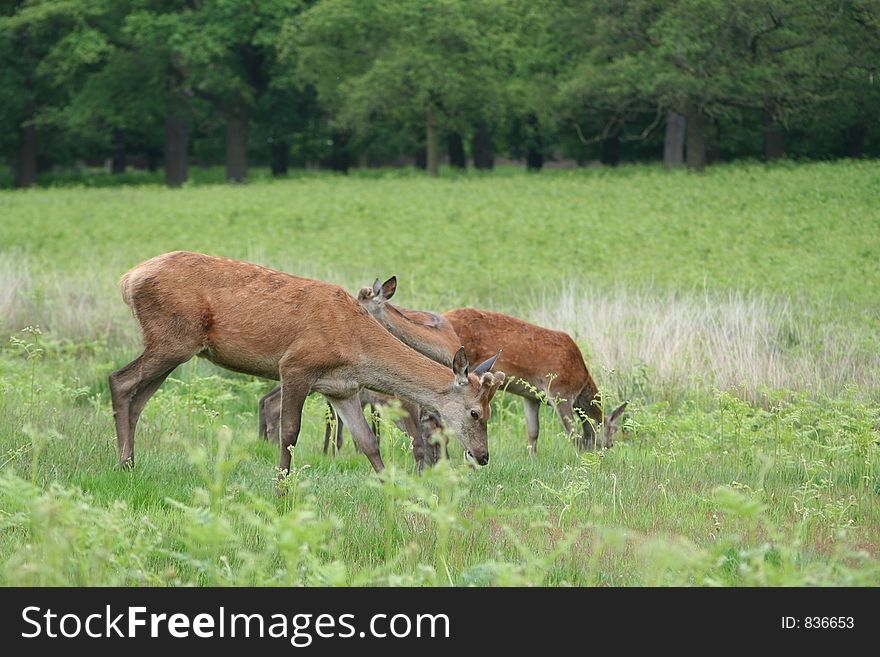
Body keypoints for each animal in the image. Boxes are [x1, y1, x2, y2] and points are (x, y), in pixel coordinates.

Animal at [111, 249, 506, 480]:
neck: (356, 350)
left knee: (139, 398)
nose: (484, 456)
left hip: (174, 345)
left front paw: (390, 491)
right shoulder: (296, 366)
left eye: (489, 412)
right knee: (120, 381)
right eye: (475, 412)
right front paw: (281, 486)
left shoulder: (342, 389)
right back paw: (122, 463)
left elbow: (367, 442)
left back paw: (130, 462)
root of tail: (127, 278)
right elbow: (289, 434)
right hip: (173, 337)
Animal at [354, 276, 624, 452]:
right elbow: (573, 433)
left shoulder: (532, 396)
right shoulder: (560, 391)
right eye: (614, 429)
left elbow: (533, 432)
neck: (582, 384)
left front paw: (533, 458)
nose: (609, 446)